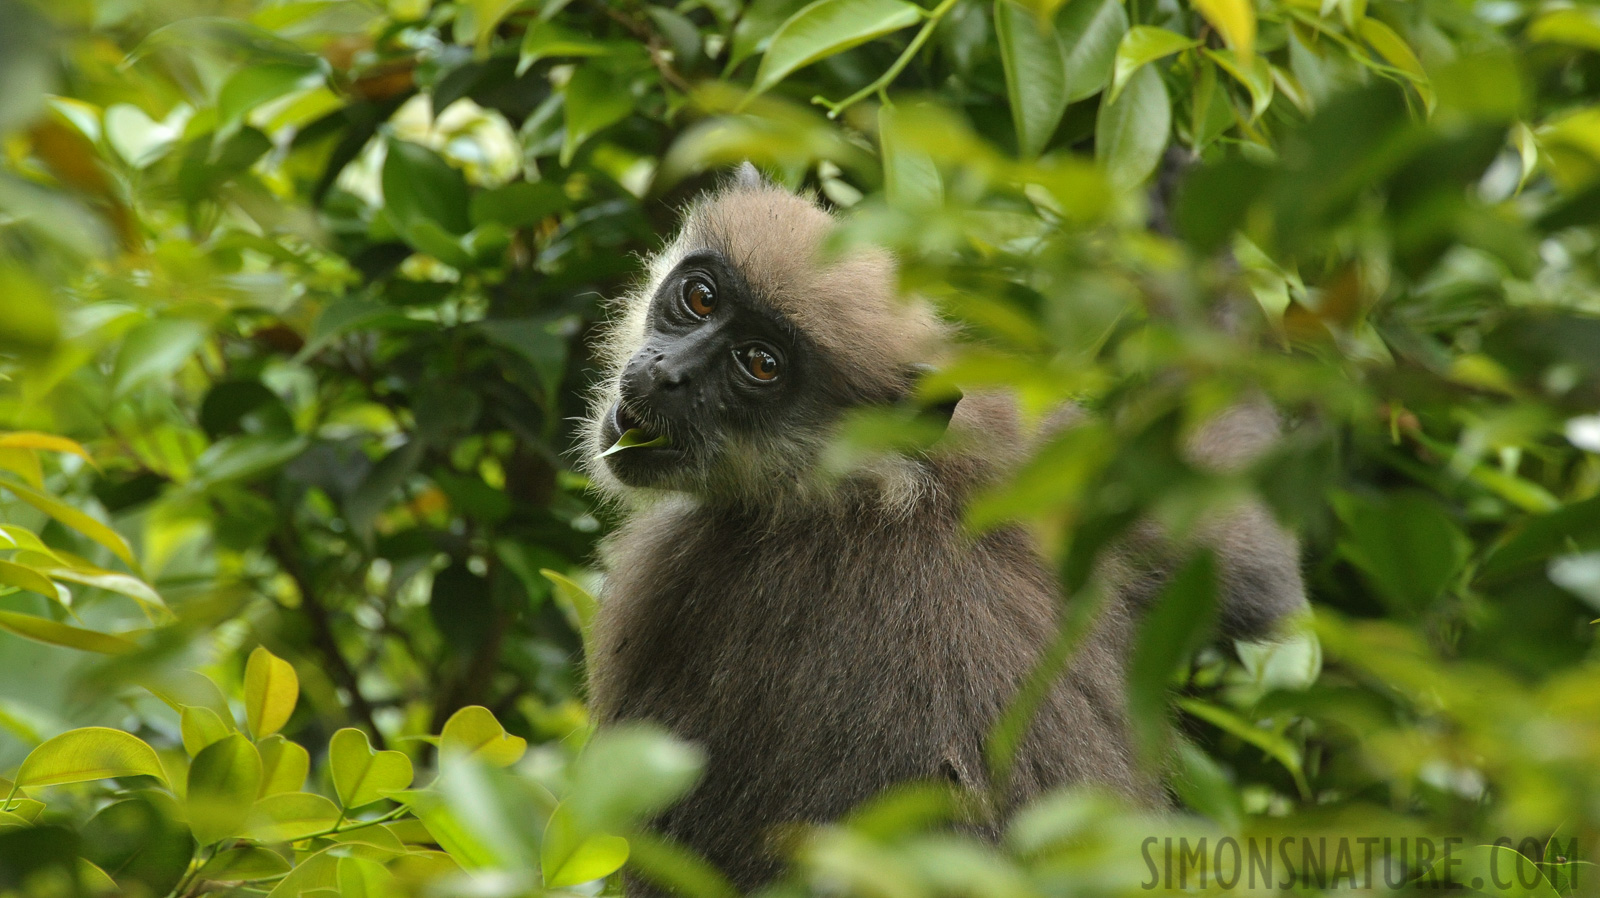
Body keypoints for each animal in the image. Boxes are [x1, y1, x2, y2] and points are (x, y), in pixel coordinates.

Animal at [582, 164, 1305, 883]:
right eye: (700, 298)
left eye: (760, 364)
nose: (668, 374)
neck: (871, 484)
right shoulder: (1029, 441)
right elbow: (1257, 567)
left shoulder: (675, 571)